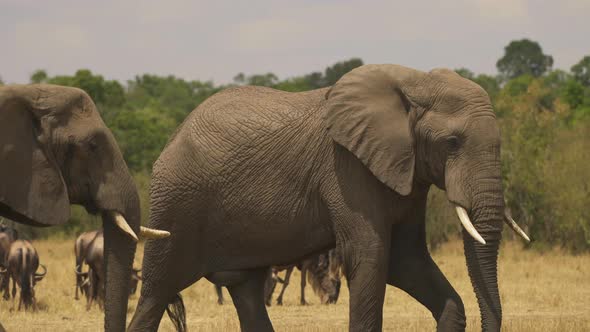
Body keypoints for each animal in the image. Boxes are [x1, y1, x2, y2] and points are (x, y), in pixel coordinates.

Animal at [130, 64, 532, 332]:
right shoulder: (346, 169)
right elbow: (370, 257)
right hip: (175, 205)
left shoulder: (407, 171)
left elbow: (407, 260)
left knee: (246, 291)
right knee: (155, 293)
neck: (414, 80)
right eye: (452, 143)